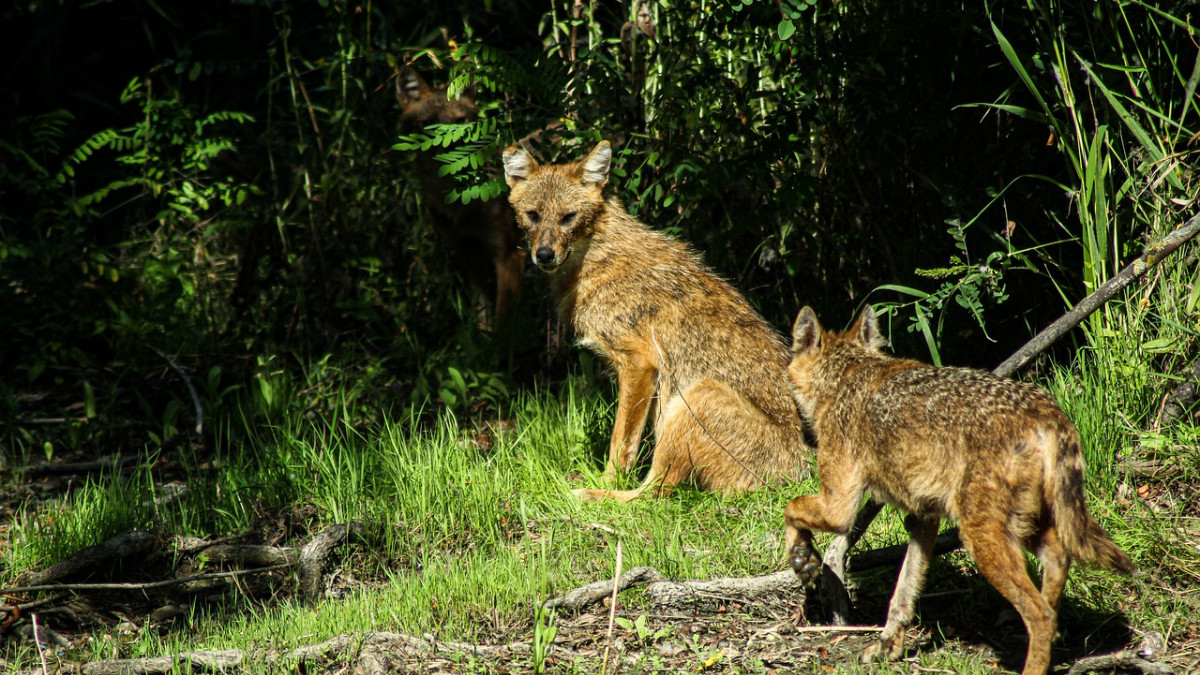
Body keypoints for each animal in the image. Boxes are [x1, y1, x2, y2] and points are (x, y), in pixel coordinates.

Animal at [397, 67, 525, 334]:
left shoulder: (509, 254)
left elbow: (501, 326)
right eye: (428, 125)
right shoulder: (466, 254)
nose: (449, 149)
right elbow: (481, 314)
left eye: (460, 121)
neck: (459, 201)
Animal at [501, 140, 811, 502]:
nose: (544, 255)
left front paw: (607, 481)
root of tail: (798, 473)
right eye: (533, 215)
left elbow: (620, 445)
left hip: (695, 397)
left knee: (651, 494)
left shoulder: (640, 363)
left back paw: (586, 494)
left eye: (568, 217)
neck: (596, 258)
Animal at [783, 305, 1135, 675]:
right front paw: (887, 647)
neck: (845, 377)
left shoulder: (840, 508)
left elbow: (791, 508)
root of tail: (1044, 411)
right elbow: (903, 593)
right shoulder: (924, 519)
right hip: (1028, 527)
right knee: (1056, 574)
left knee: (1040, 615)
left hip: (981, 539)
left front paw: (800, 557)